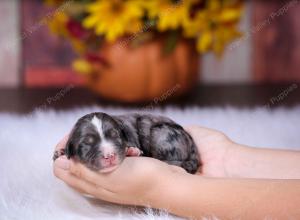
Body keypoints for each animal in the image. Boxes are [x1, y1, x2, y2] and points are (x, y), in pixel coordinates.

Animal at [53, 112, 202, 174]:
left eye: (115, 135)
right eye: (87, 142)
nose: (109, 156)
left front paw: (131, 151)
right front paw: (60, 152)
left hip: (162, 134)